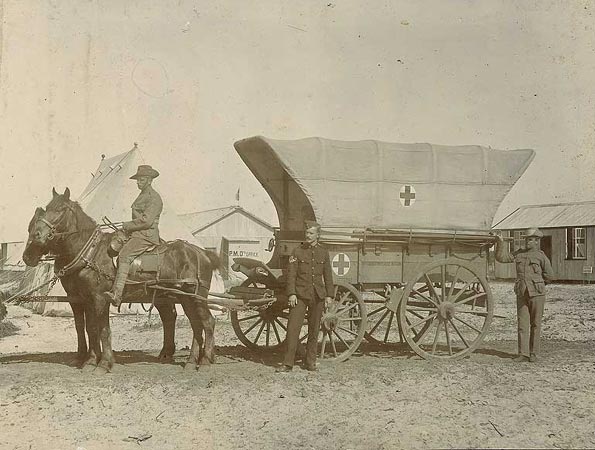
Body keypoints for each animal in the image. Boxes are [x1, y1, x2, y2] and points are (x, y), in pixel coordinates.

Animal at [22, 187, 221, 372]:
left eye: (61, 209)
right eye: (47, 208)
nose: (37, 236)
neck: (90, 252)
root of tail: (202, 253)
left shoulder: (99, 299)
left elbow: (103, 330)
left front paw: (103, 363)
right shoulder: (80, 299)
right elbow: (88, 328)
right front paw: (89, 359)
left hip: (195, 297)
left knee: (207, 322)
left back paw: (204, 360)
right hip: (183, 298)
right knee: (192, 323)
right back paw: (188, 360)